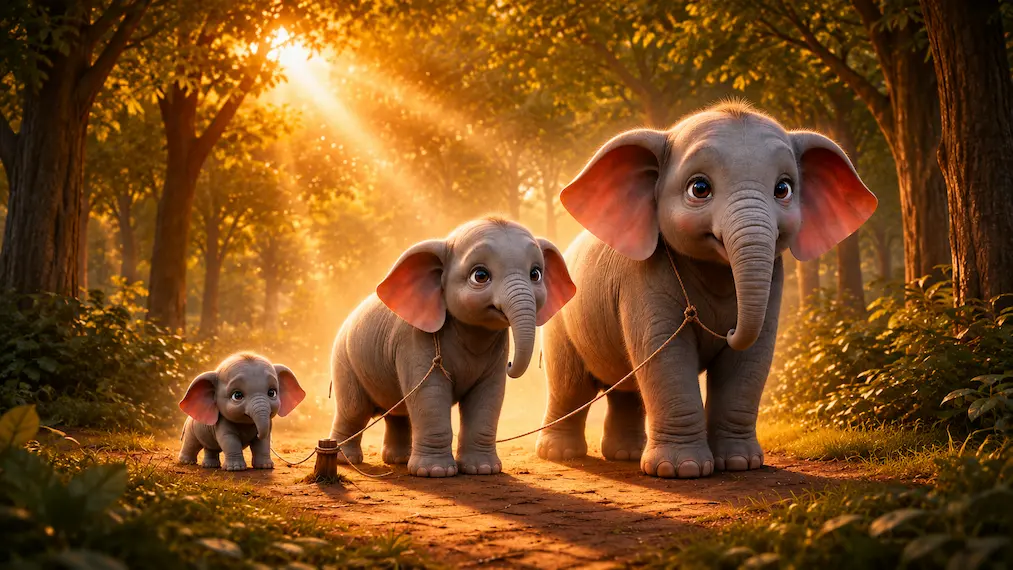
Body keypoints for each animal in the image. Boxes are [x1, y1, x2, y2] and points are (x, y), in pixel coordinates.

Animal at [329, 217, 575, 477]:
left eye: (535, 274)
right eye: (480, 275)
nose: (510, 364)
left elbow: (489, 394)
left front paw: (483, 470)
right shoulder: (414, 341)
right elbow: (431, 394)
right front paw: (435, 472)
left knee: (398, 413)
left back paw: (398, 460)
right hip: (344, 362)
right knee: (353, 410)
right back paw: (348, 459)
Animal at [537, 101, 877, 479]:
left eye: (783, 189)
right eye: (699, 188)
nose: (726, 329)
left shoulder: (775, 277)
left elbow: (751, 358)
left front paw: (742, 464)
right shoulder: (643, 278)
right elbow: (666, 353)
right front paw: (681, 470)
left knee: (627, 387)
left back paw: (626, 454)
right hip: (558, 325)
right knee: (571, 386)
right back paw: (560, 454)